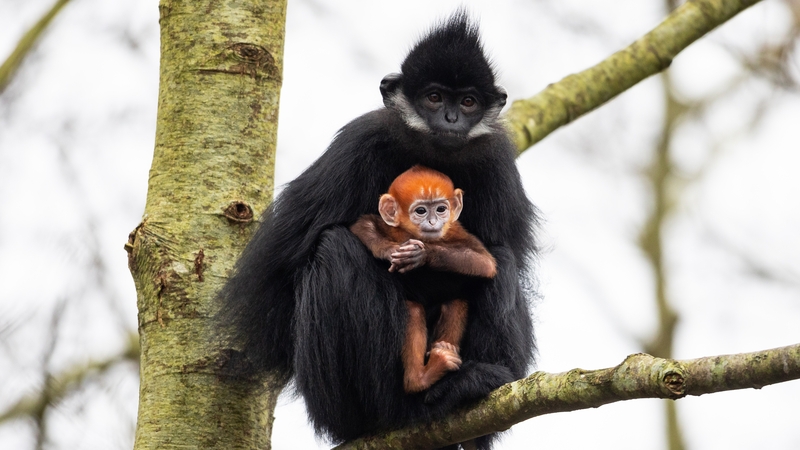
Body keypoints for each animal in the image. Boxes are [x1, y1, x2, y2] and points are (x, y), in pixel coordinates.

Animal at [350, 165, 498, 394]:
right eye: (421, 211)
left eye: (441, 209)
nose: (433, 222)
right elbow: (362, 225)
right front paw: (389, 250)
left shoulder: (455, 230)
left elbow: (485, 262)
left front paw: (423, 254)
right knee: (413, 310)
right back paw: (418, 379)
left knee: (455, 301)